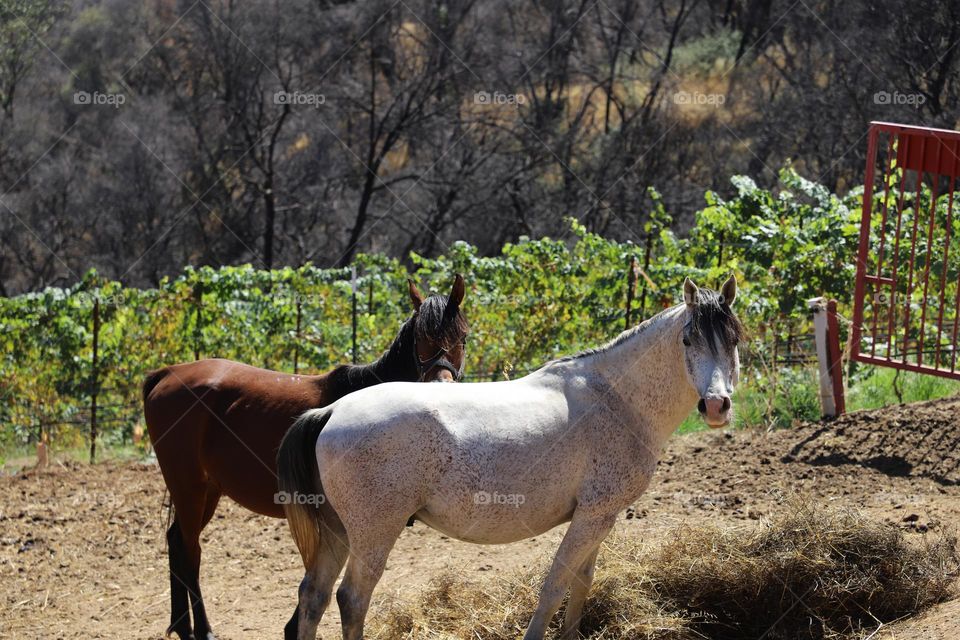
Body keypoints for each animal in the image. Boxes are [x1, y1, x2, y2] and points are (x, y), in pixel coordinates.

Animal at [142, 276, 468, 640]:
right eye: (421, 339)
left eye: (463, 337)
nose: (442, 385)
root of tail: (167, 373)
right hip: (189, 487)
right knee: (190, 551)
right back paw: (202, 629)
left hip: (207, 489)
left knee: (176, 542)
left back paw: (181, 625)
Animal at [278, 276, 744, 640]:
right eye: (688, 339)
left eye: (735, 341)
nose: (716, 405)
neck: (616, 398)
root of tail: (332, 411)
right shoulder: (594, 516)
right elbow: (555, 586)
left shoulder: (599, 516)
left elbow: (582, 582)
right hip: (374, 534)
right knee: (352, 599)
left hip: (337, 532)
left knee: (313, 598)